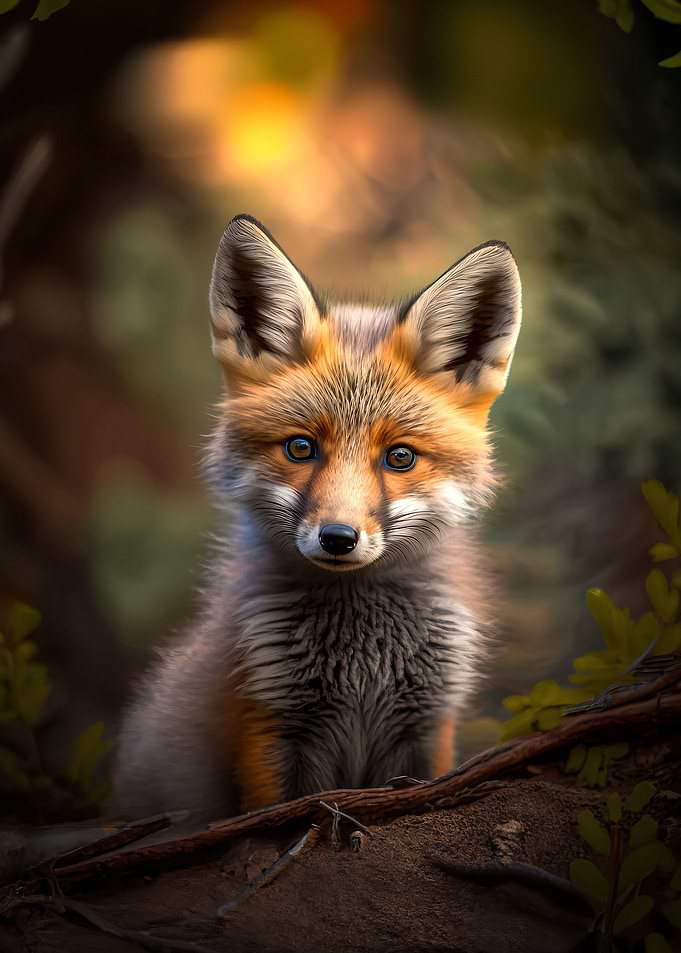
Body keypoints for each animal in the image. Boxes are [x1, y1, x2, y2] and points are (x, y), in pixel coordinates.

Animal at [111, 214, 522, 822]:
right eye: (301, 448)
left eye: (400, 457)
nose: (338, 538)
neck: (363, 662)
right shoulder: (267, 725)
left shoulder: (429, 726)